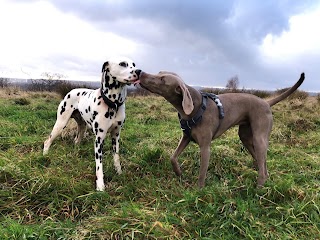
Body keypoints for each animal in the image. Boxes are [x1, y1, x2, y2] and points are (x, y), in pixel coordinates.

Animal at [43, 56, 139, 191]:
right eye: (122, 64)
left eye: (134, 64)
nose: (139, 71)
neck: (113, 104)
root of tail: (70, 91)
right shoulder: (99, 139)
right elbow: (99, 166)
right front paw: (100, 187)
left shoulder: (116, 136)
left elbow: (116, 157)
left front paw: (119, 173)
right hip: (61, 123)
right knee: (47, 141)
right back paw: (45, 155)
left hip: (82, 127)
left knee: (76, 140)